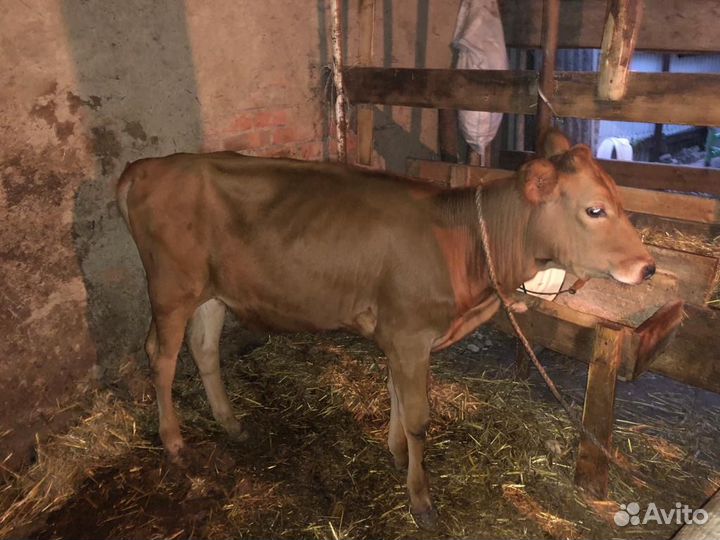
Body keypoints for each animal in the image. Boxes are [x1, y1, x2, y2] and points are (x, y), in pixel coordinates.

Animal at [116, 130, 654, 529]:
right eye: (594, 209)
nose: (648, 267)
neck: (463, 247)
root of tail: (145, 167)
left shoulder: (402, 337)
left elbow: (396, 393)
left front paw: (395, 453)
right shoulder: (411, 334)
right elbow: (418, 417)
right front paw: (421, 499)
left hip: (210, 291)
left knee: (204, 349)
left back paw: (231, 423)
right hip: (171, 288)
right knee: (161, 356)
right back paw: (174, 442)